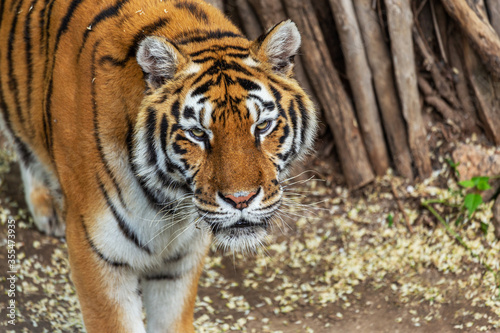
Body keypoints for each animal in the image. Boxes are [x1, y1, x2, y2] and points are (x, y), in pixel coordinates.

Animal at [0, 0, 316, 330]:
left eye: (263, 126)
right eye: (197, 133)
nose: (240, 200)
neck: (170, 200)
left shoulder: (179, 262)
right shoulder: (99, 256)